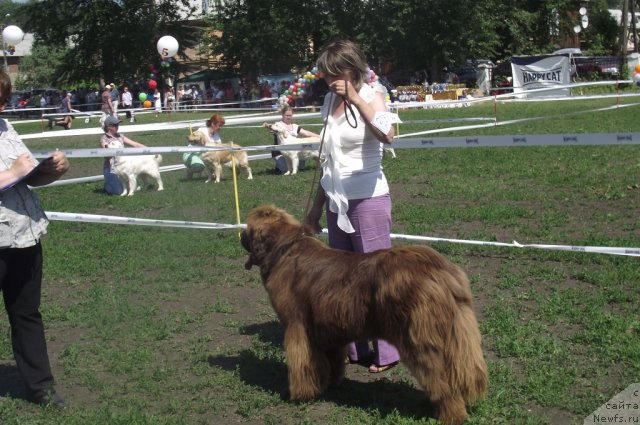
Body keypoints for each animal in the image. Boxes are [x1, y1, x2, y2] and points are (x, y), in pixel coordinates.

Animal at [242, 204, 488, 422]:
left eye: (247, 227)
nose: (240, 235)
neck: (284, 249)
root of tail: (439, 268)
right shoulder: (327, 329)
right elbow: (330, 361)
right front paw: (329, 384)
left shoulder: (297, 327)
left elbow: (301, 363)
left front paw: (300, 394)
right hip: (458, 332)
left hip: (419, 338)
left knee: (439, 378)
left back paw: (452, 414)